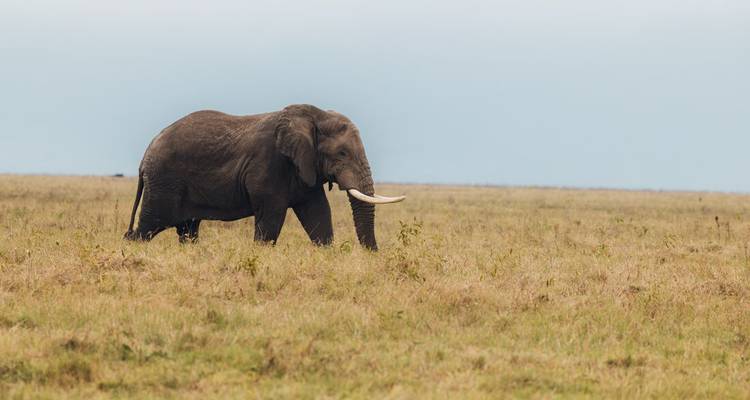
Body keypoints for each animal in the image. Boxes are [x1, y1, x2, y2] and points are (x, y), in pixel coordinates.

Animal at [124, 104, 404, 250]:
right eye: (342, 153)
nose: (372, 255)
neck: (314, 115)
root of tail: (146, 153)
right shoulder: (268, 164)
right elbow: (271, 217)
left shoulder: (306, 168)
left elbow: (318, 213)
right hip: (164, 181)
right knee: (149, 225)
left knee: (188, 229)